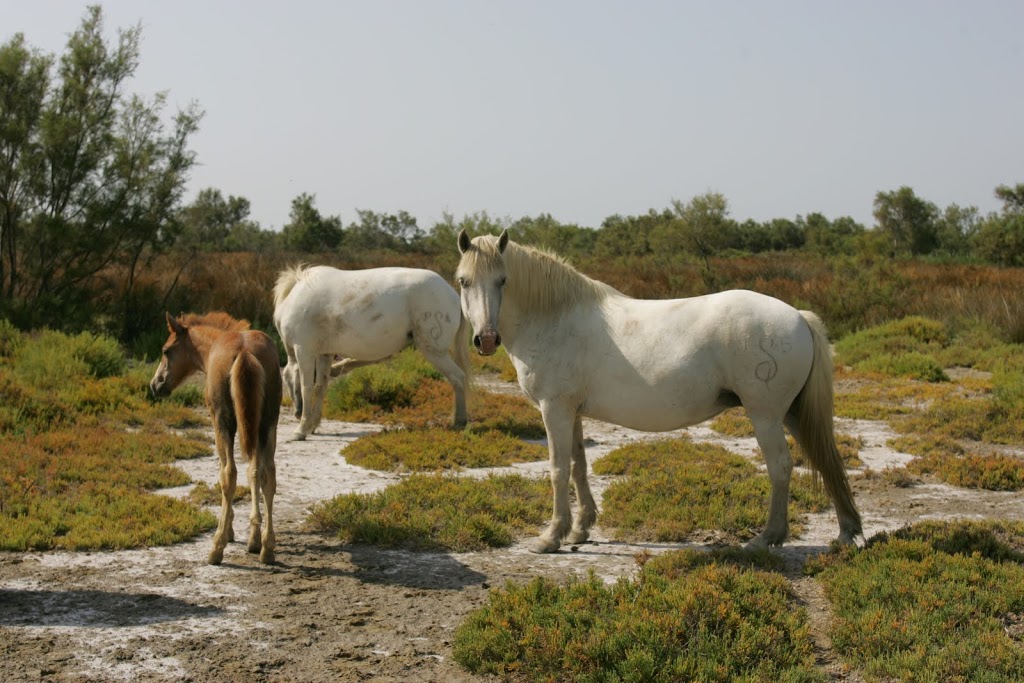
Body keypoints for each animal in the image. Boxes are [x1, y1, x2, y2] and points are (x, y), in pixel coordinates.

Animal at [272, 264, 471, 440]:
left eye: (285, 381)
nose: (297, 413)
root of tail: (453, 295)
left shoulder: (304, 350)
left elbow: (306, 388)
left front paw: (302, 429)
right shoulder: (324, 355)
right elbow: (320, 388)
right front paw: (313, 425)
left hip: (435, 352)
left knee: (458, 378)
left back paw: (459, 421)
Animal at [458, 231, 864, 557]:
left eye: (503, 280)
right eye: (463, 281)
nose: (486, 340)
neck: (554, 317)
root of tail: (797, 315)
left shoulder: (554, 409)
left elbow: (558, 469)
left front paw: (551, 537)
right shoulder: (571, 412)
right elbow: (578, 465)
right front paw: (580, 528)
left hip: (765, 416)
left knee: (780, 466)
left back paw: (767, 538)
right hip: (792, 413)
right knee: (827, 461)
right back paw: (847, 532)